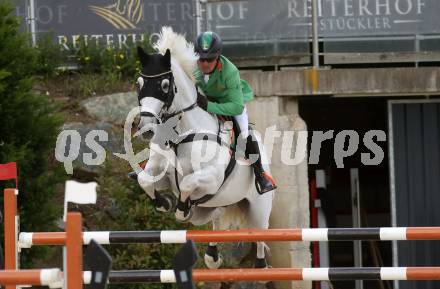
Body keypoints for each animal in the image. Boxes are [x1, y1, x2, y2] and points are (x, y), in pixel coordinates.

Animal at [136, 27, 274, 268]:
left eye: (164, 86)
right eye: (139, 84)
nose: (146, 129)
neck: (179, 134)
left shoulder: (211, 178)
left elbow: (188, 182)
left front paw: (181, 209)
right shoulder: (162, 175)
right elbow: (144, 179)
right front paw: (164, 203)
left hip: (258, 208)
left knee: (259, 235)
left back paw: (260, 265)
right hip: (209, 209)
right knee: (216, 217)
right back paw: (212, 255)